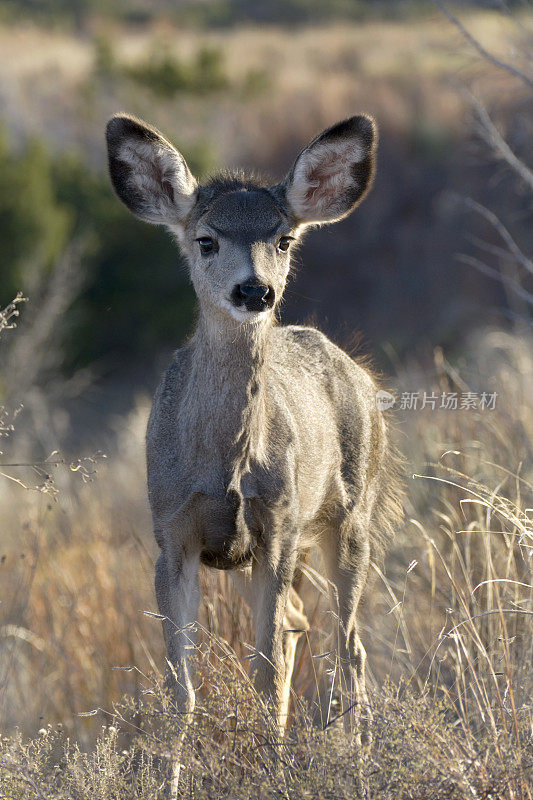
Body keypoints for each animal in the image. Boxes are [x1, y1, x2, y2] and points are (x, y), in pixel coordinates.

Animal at [106, 112, 402, 744]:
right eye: (206, 240)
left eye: (284, 240)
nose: (254, 290)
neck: (224, 468)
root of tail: (359, 373)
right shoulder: (172, 535)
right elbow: (181, 691)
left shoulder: (277, 527)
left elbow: (264, 674)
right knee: (300, 626)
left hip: (351, 516)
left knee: (349, 644)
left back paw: (357, 749)